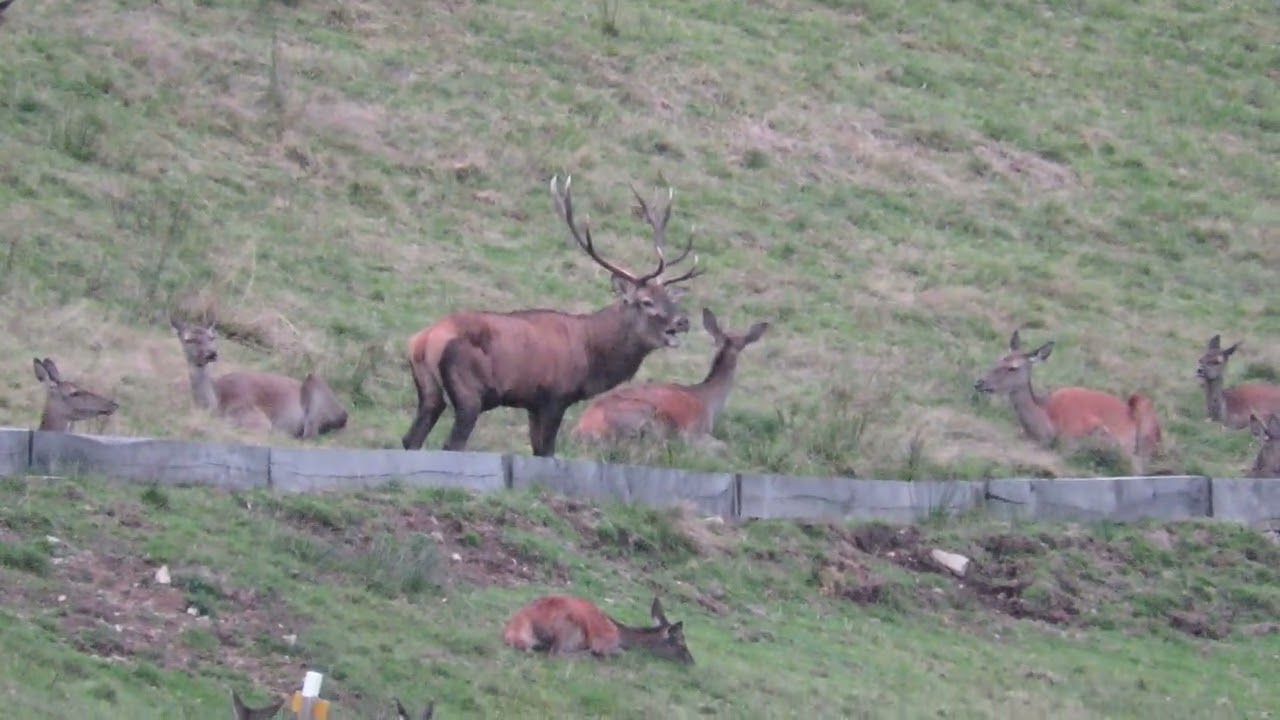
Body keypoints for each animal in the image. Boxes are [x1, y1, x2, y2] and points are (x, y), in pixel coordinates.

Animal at [170, 317, 348, 440]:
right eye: (189, 339)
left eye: (212, 337)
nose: (211, 353)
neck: (217, 403)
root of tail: (344, 415)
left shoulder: (255, 417)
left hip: (315, 386)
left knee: (310, 435)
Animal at [401, 175, 704, 458]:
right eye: (646, 301)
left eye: (670, 298)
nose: (683, 321)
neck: (590, 353)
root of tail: (424, 340)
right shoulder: (554, 397)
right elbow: (546, 451)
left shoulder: (533, 404)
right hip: (468, 392)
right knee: (452, 444)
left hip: (429, 392)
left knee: (411, 439)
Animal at [502, 594, 694, 665]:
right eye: (682, 646)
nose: (692, 662)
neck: (621, 635)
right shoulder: (605, 642)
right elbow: (622, 654)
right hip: (569, 627)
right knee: (556, 654)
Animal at [572, 308, 769, 445]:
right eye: (743, 344)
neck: (709, 401)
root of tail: (582, 429)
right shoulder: (695, 431)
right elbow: (722, 446)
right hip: (644, 415)